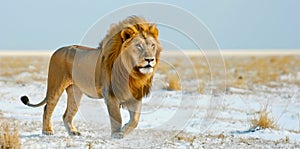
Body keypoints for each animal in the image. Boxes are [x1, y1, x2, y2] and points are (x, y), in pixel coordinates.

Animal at [19, 15, 162, 138]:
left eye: (152, 45)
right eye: (138, 46)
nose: (150, 59)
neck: (132, 73)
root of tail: (58, 50)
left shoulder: (135, 94)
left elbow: (135, 120)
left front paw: (123, 131)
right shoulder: (109, 93)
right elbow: (117, 117)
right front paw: (116, 134)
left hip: (75, 92)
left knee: (66, 115)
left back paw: (73, 132)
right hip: (56, 85)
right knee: (47, 107)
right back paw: (47, 131)